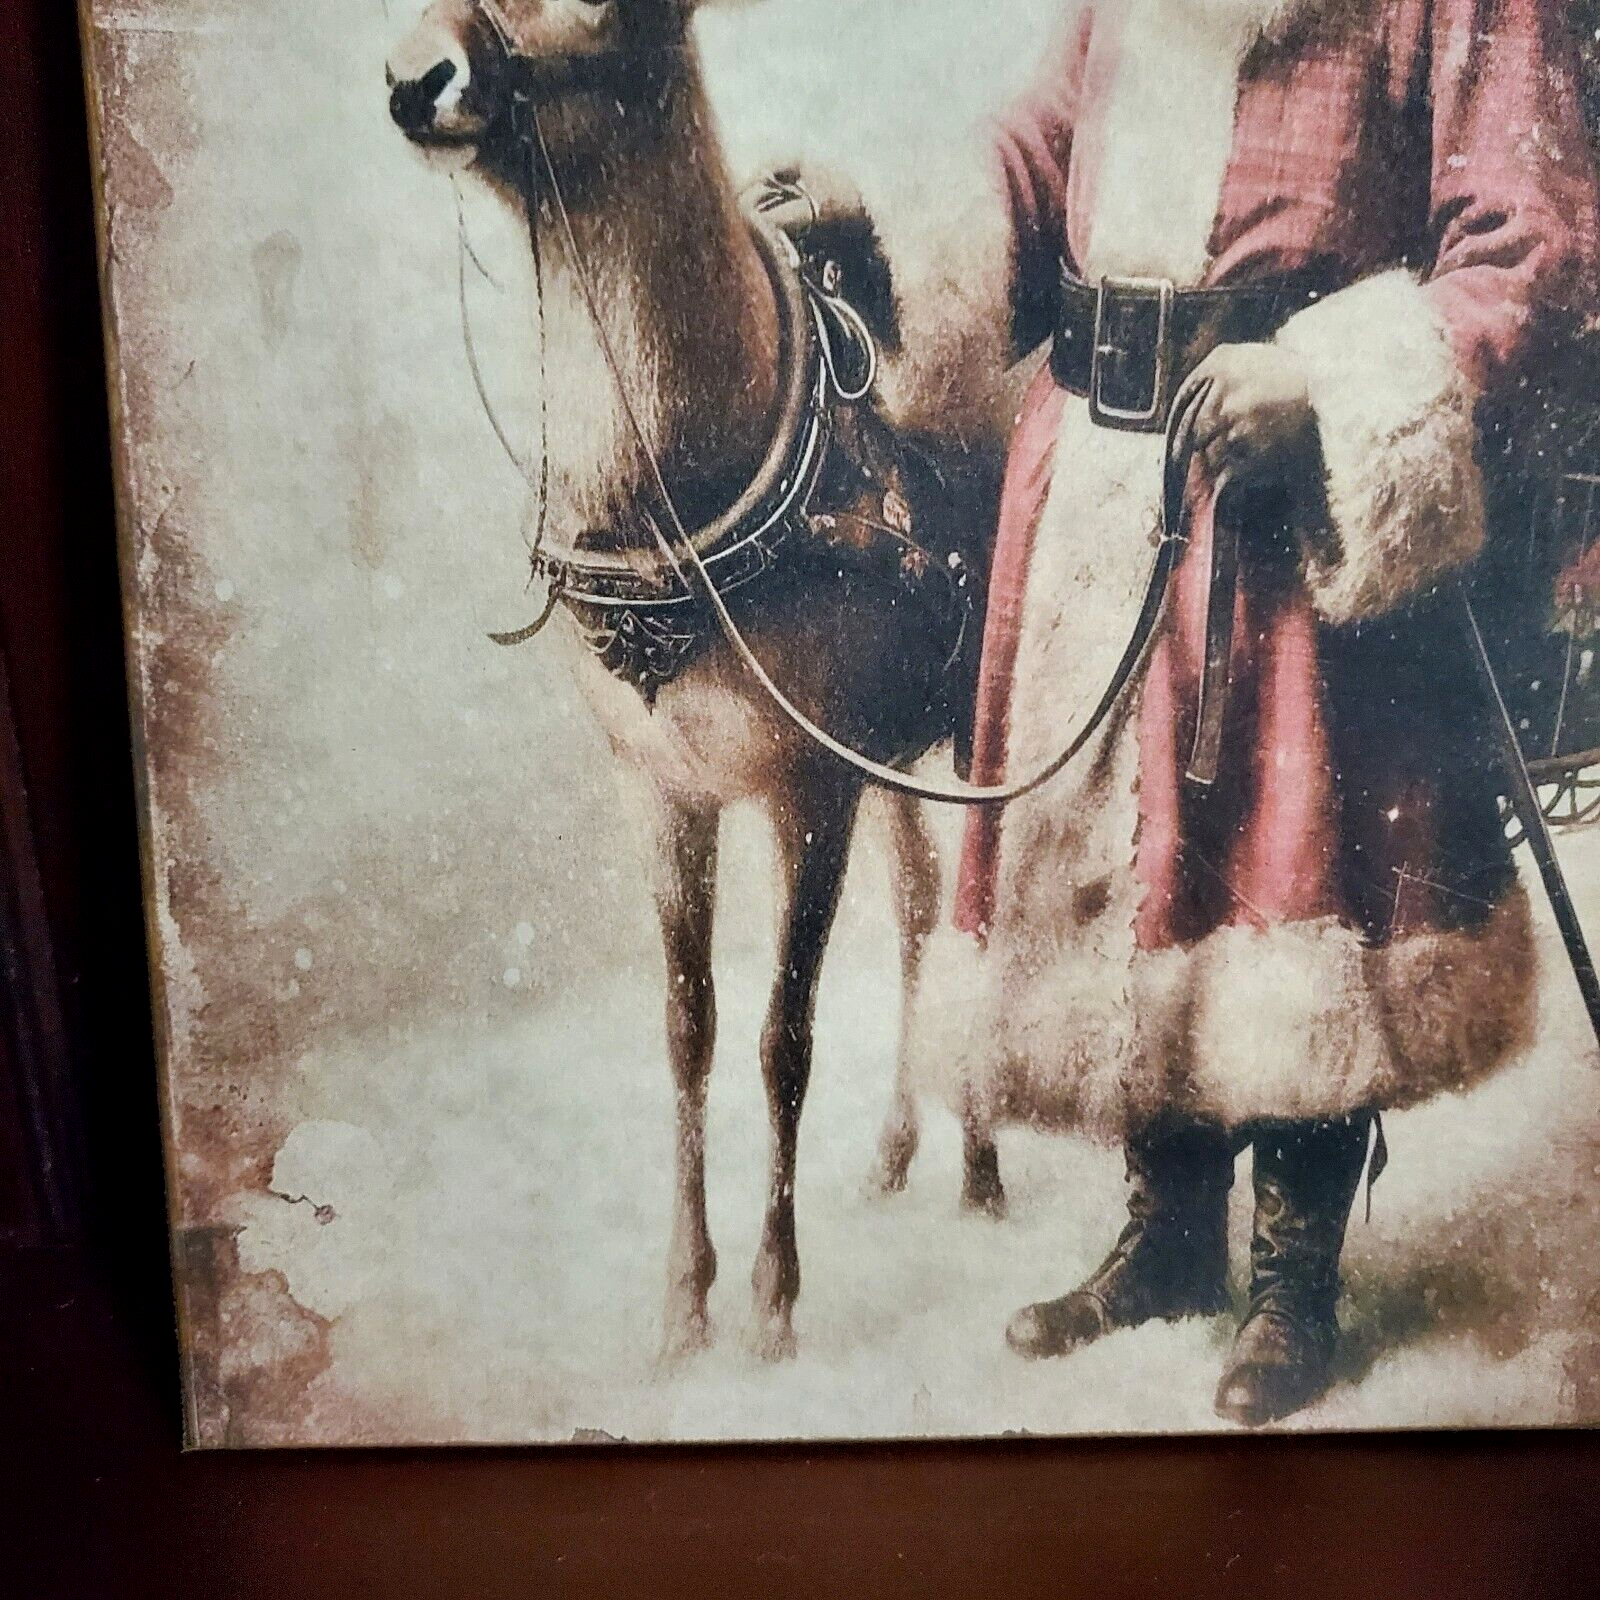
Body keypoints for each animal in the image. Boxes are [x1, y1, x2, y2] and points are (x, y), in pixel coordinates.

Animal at [385, 0, 1005, 1363]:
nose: (413, 78)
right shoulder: (661, 784)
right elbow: (688, 1029)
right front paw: (681, 1303)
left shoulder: (808, 782)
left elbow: (783, 1032)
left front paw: (774, 1301)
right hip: (904, 749)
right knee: (928, 902)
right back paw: (919, 1155)